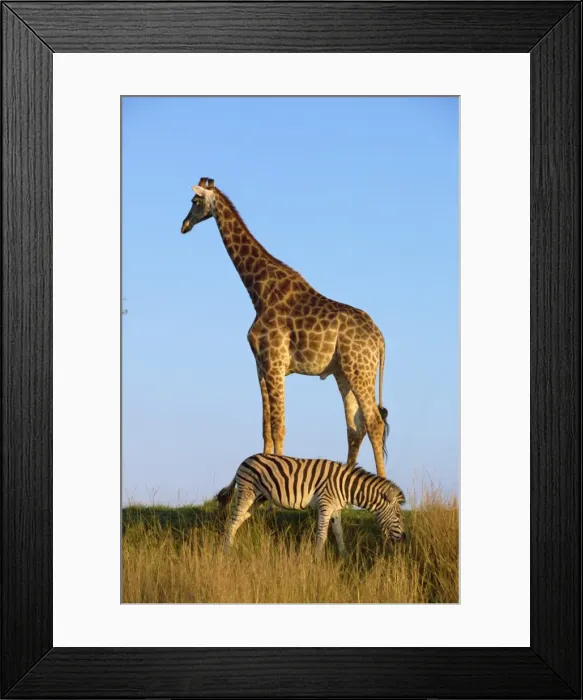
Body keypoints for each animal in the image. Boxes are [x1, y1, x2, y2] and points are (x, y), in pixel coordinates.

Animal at [181, 178, 390, 478]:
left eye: (194, 202)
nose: (184, 225)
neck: (258, 290)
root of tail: (380, 338)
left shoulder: (275, 361)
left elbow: (279, 426)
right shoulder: (261, 365)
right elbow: (266, 427)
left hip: (359, 368)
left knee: (374, 422)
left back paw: (382, 484)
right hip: (344, 373)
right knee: (355, 426)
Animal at [216, 453, 406, 556]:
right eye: (398, 515)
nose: (404, 538)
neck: (345, 486)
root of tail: (245, 460)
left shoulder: (335, 508)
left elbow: (339, 533)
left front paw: (344, 556)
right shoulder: (325, 505)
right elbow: (322, 535)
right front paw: (318, 560)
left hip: (257, 499)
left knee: (237, 522)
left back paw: (232, 547)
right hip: (246, 493)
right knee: (232, 522)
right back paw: (226, 553)